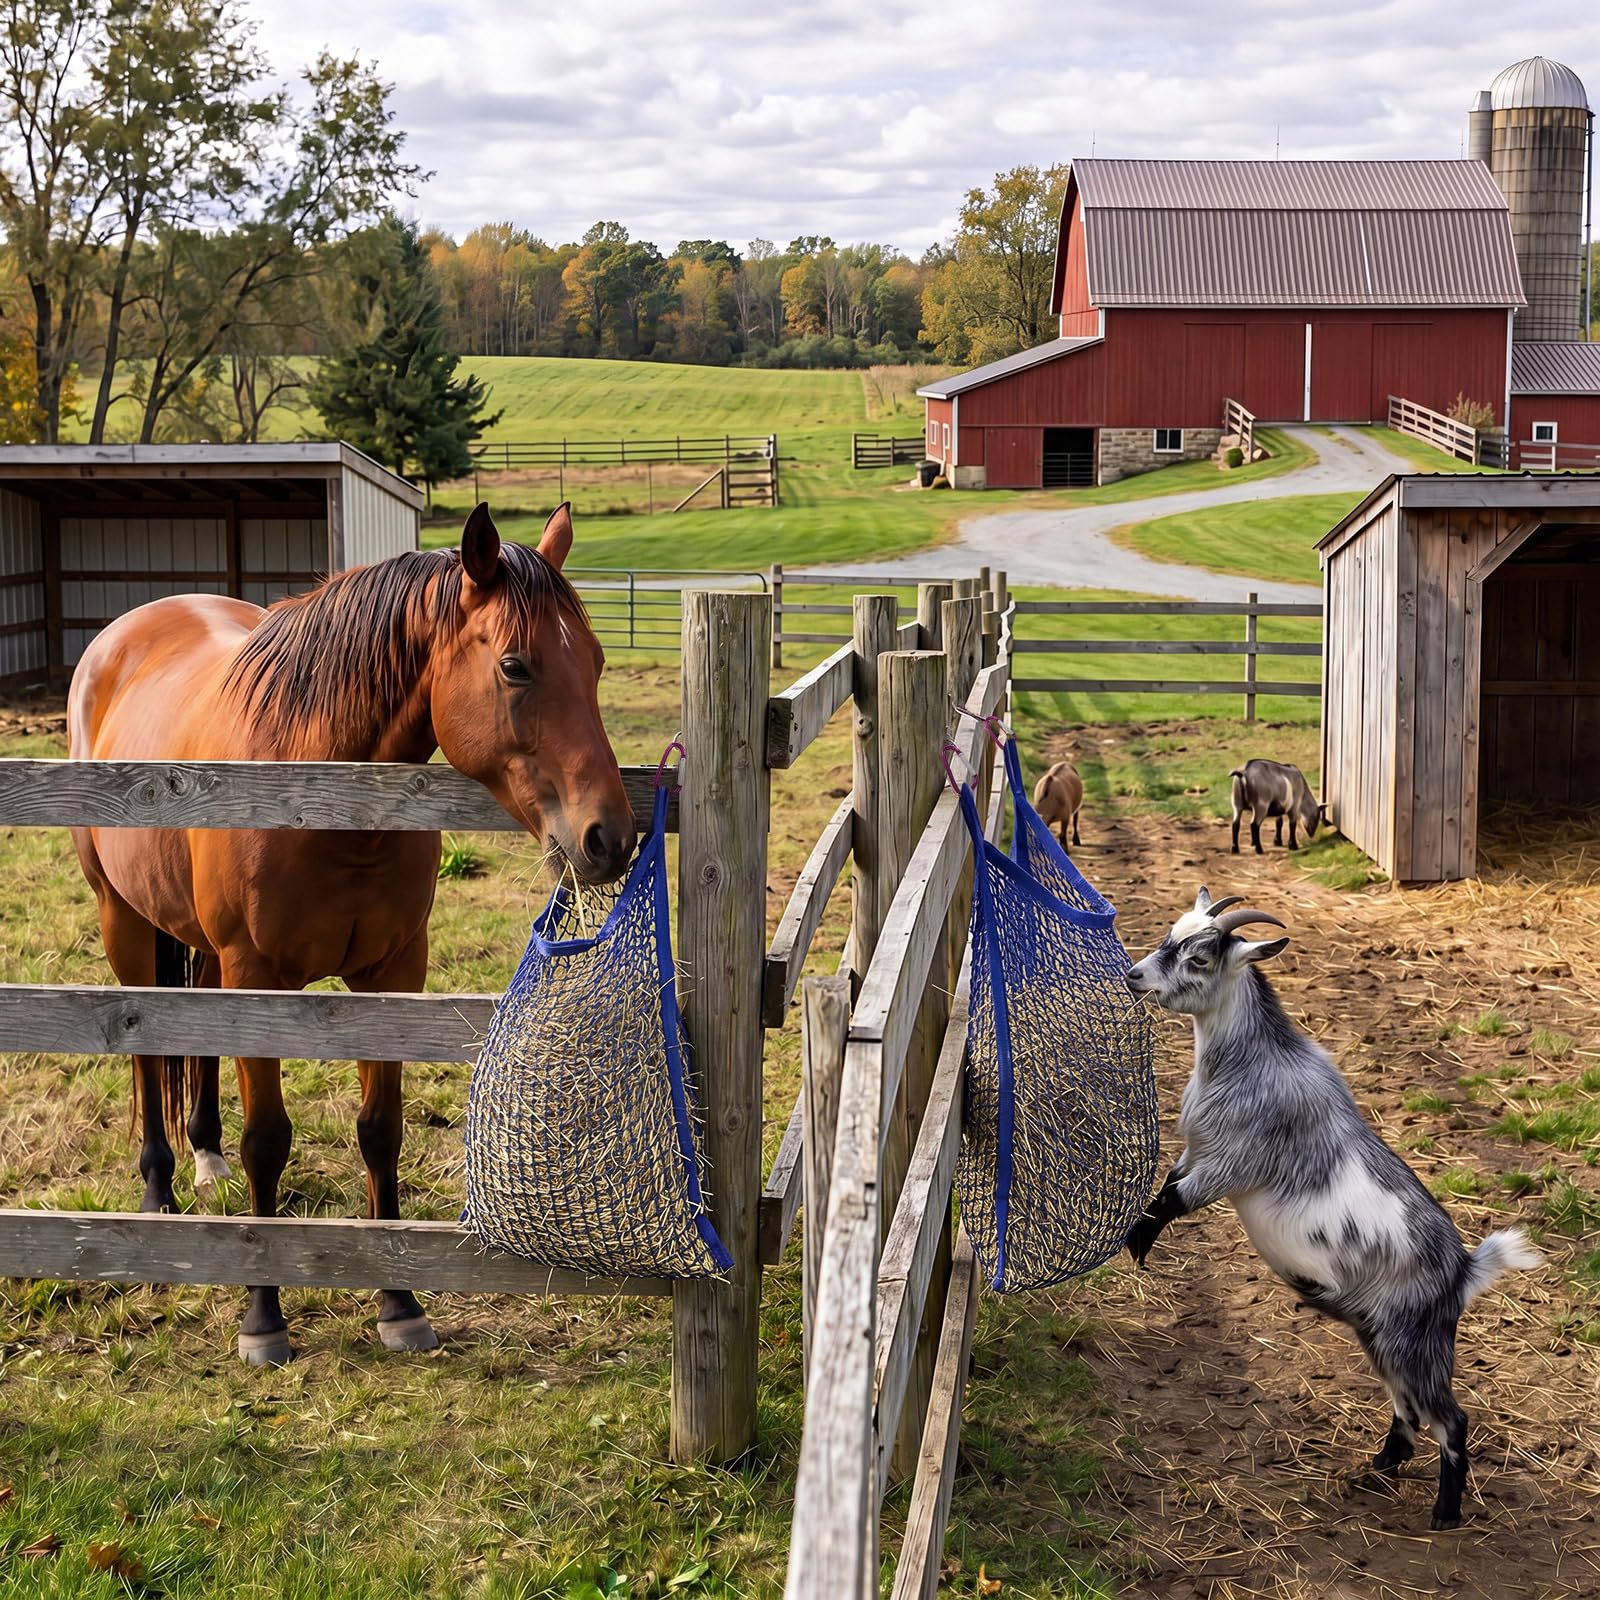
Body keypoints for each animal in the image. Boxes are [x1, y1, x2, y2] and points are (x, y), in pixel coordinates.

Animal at [67, 502, 635, 1365]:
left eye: (598, 663)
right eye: (515, 667)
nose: (610, 839)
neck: (317, 787)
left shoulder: (392, 973)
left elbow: (381, 1132)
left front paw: (399, 1303)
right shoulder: (256, 978)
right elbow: (269, 1139)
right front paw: (262, 1317)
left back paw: (205, 1156)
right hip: (123, 920)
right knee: (148, 1046)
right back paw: (159, 1190)